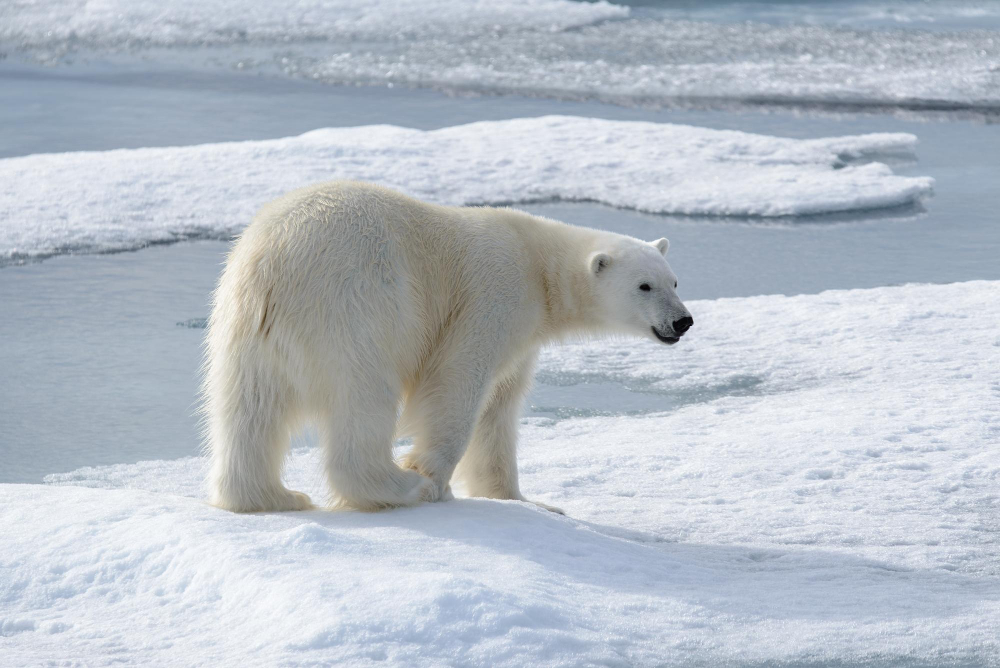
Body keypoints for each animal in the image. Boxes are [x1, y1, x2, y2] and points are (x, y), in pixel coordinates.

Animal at [203, 180, 688, 516]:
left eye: (675, 281)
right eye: (644, 286)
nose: (683, 321)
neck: (539, 267)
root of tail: (272, 263)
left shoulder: (522, 337)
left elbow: (500, 409)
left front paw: (526, 500)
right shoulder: (492, 296)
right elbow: (458, 382)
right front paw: (433, 479)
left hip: (244, 328)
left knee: (248, 410)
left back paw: (274, 496)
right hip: (356, 307)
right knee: (363, 400)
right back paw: (401, 487)